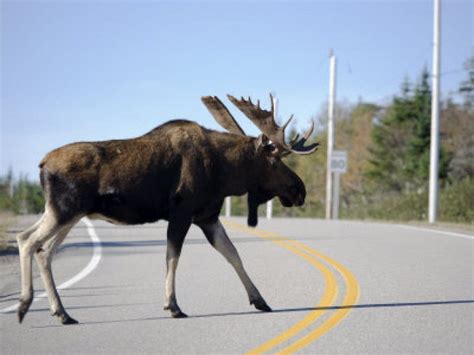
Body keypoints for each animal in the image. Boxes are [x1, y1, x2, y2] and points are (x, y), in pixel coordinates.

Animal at [14, 94, 318, 326]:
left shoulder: (208, 216)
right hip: (65, 210)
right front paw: (172, 305)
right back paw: (25, 305)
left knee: (41, 249)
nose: (299, 190)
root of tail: (42, 164)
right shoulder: (181, 213)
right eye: (275, 161)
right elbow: (172, 257)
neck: (225, 172)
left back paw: (62, 313)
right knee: (28, 241)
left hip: (66, 214)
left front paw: (260, 299)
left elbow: (233, 255)